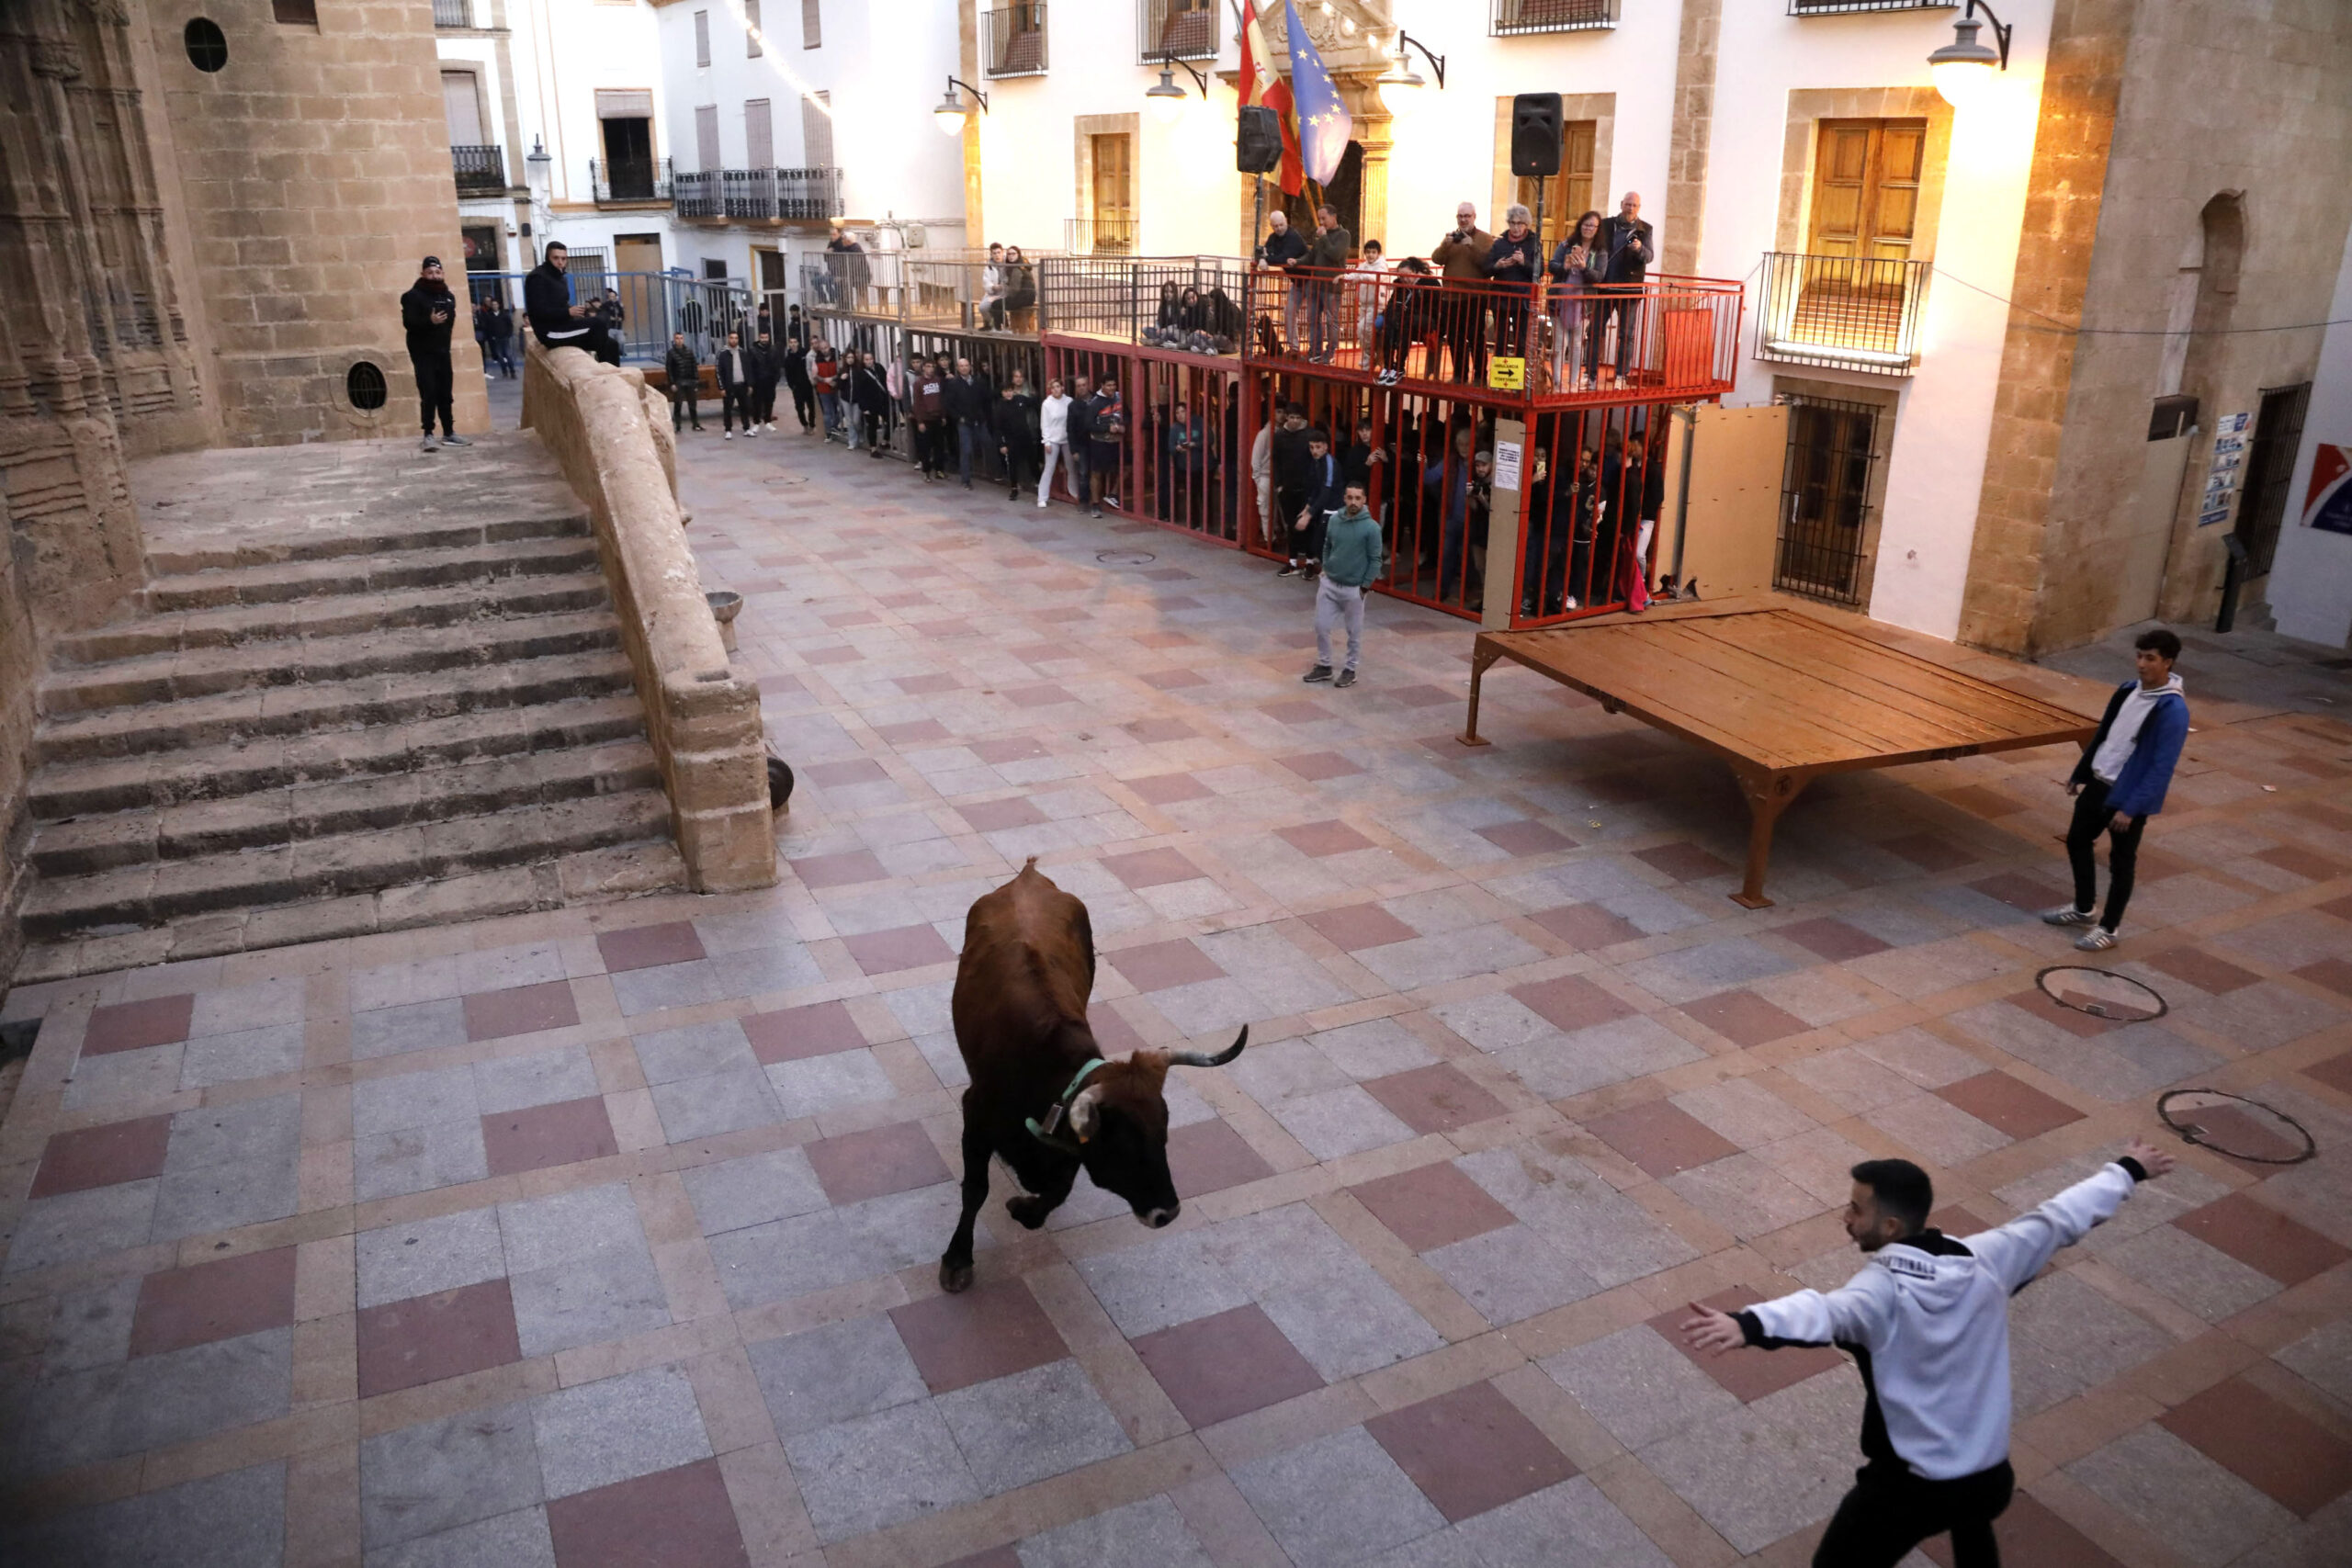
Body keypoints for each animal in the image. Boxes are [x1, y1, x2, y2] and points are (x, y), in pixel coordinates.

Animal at [935, 864, 1250, 1297]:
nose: (1167, 1212)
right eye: (1123, 1145)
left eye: (1164, 1135)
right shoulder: (977, 1116)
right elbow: (974, 1189)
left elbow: (1062, 1186)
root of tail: (1029, 876)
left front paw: (1027, 1210)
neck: (1042, 1069)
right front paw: (957, 1259)